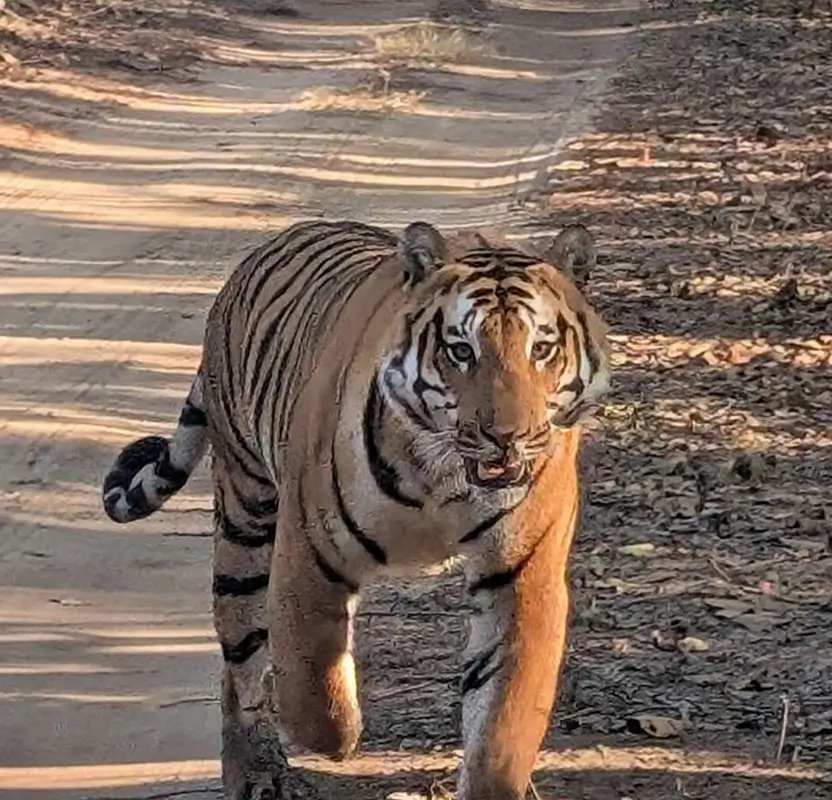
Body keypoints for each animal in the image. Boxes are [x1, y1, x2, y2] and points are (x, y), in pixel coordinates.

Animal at [101, 218, 611, 800]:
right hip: (245, 521)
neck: (442, 473)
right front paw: (336, 741)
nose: (506, 437)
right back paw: (255, 773)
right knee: (239, 667)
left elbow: (503, 716)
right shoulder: (310, 548)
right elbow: (311, 678)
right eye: (461, 351)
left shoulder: (521, 574)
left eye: (542, 349)